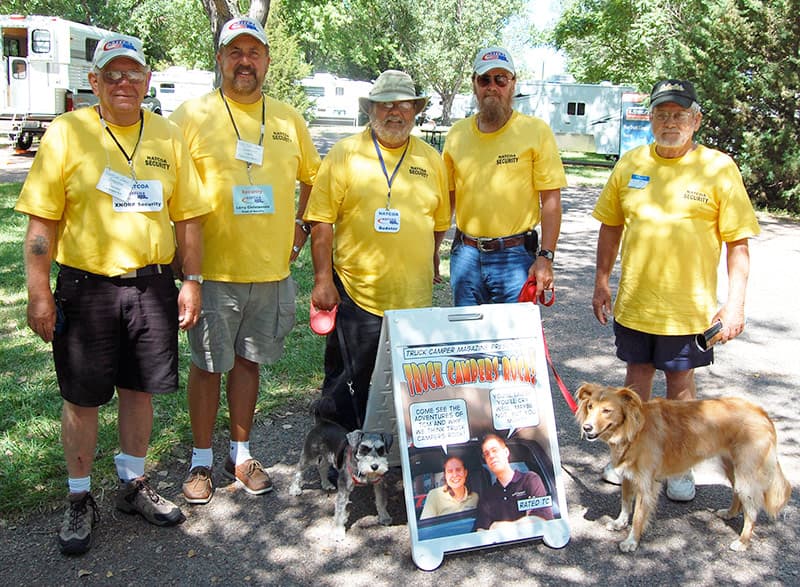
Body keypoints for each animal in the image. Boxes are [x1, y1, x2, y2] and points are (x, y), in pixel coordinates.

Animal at [290, 408, 396, 544]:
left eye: (381, 450)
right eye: (363, 449)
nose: (374, 466)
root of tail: (321, 422)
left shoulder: (378, 483)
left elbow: (381, 500)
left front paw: (384, 517)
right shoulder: (344, 489)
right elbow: (340, 512)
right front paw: (338, 532)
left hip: (328, 457)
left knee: (322, 467)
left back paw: (326, 484)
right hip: (309, 456)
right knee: (298, 470)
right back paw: (295, 489)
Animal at [576, 384, 792, 552]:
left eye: (607, 410)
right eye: (590, 406)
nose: (587, 428)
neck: (634, 430)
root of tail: (762, 413)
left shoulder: (646, 485)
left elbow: (637, 516)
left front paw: (631, 541)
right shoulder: (629, 476)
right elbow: (625, 503)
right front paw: (620, 523)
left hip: (747, 472)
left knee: (752, 511)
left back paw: (742, 541)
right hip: (731, 466)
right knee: (737, 495)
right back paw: (729, 513)